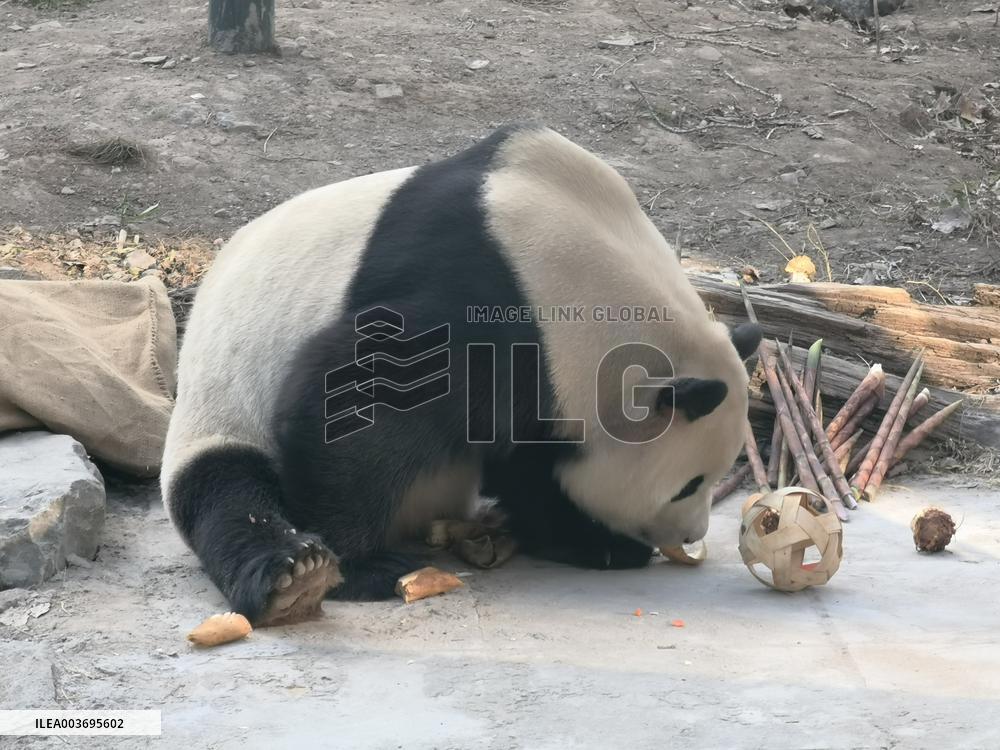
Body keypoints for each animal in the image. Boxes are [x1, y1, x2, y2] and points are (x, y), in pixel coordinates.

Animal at [161, 125, 761, 626]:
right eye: (689, 484)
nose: (692, 533)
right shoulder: (484, 307)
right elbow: (353, 400)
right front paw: (364, 567)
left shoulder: (543, 385)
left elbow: (530, 467)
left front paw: (594, 542)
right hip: (224, 395)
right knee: (227, 492)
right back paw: (293, 574)